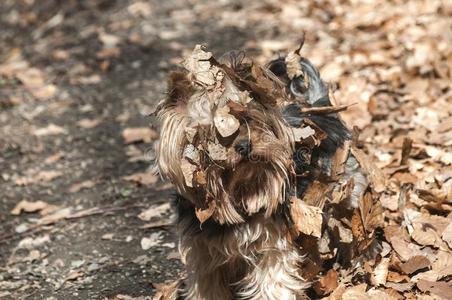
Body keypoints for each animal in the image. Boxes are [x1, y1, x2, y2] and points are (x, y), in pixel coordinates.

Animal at [155, 42, 382, 300]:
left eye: (248, 118)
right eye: (212, 134)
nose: (244, 145)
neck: (240, 189)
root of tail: (317, 110)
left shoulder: (273, 244)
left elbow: (273, 282)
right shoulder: (204, 253)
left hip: (345, 186)